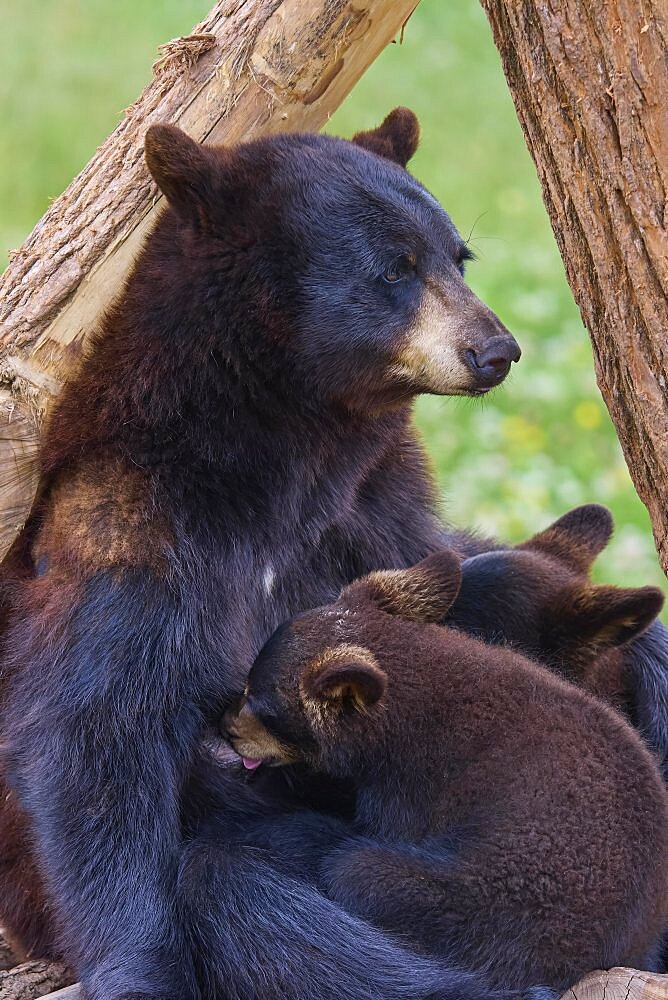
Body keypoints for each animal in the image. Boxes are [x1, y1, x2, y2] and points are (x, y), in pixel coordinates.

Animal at [0, 111, 520, 1000]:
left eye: (459, 256)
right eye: (395, 268)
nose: (497, 349)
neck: (290, 460)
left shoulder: (376, 508)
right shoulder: (129, 527)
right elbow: (94, 741)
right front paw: (140, 970)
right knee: (241, 892)